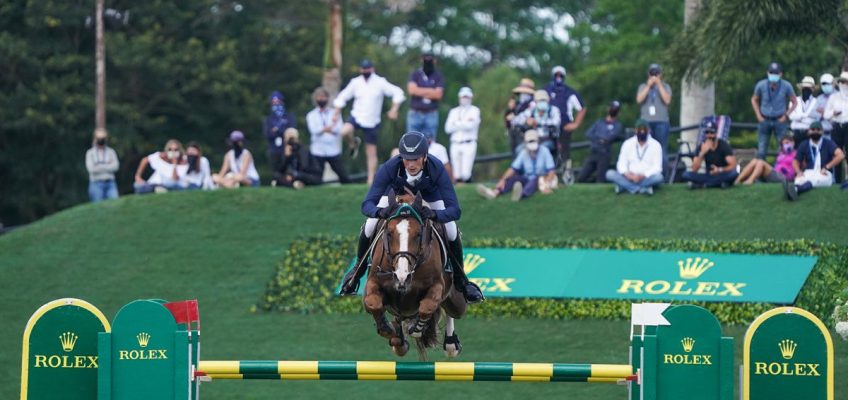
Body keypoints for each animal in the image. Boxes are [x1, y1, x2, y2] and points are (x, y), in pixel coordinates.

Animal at [362, 190, 468, 360]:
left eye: (419, 234)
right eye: (389, 233)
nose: (402, 276)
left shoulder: (437, 286)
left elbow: (428, 305)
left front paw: (417, 328)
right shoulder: (373, 284)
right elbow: (373, 302)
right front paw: (386, 328)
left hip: (458, 301)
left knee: (451, 312)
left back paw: (451, 343)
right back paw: (398, 340)